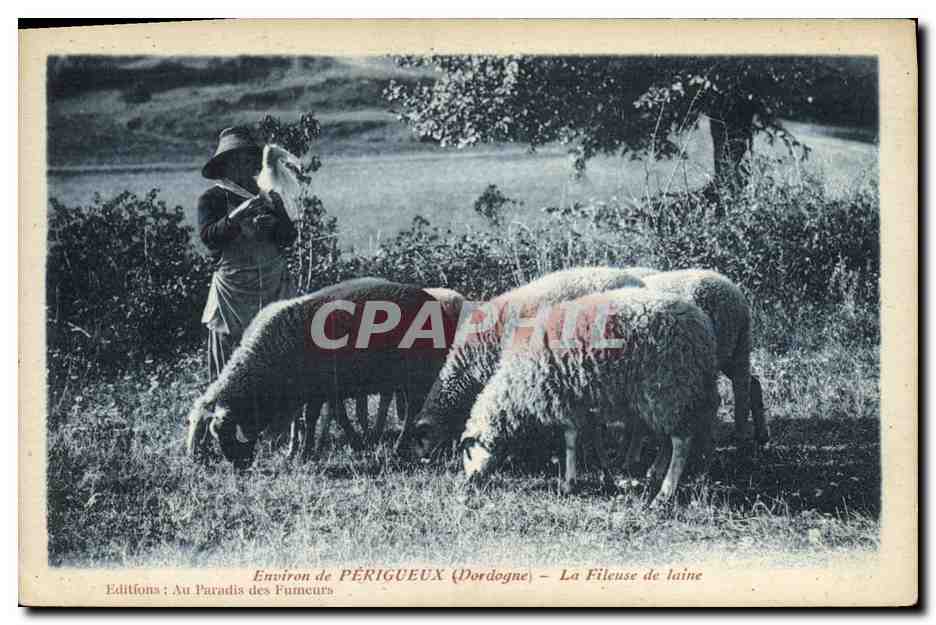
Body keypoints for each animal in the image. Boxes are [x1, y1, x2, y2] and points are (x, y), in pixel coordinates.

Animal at [185, 277, 452, 468]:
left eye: (229, 433)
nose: (240, 465)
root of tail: (435, 303)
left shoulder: (319, 388)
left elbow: (313, 418)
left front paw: (306, 452)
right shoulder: (314, 390)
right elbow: (324, 417)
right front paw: (302, 450)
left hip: (419, 372)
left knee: (412, 411)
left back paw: (400, 446)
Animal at [459, 287, 720, 507]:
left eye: (468, 452)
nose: (467, 483)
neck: (515, 387)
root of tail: (702, 324)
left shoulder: (564, 399)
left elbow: (571, 441)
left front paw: (569, 483)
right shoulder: (580, 399)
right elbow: (589, 438)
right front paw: (605, 474)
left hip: (671, 386)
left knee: (681, 442)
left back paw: (664, 493)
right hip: (669, 394)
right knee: (670, 435)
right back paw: (657, 471)